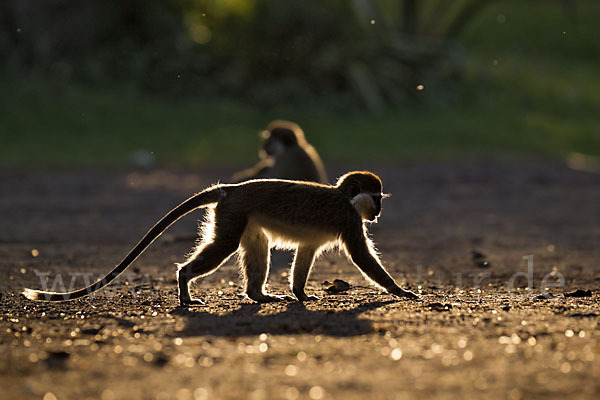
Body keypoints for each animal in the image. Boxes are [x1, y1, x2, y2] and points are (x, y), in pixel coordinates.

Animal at [22, 170, 418, 304]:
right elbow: (362, 257)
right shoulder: (349, 220)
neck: (344, 198)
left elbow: (305, 253)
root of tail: (231, 188)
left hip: (238, 216)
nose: (378, 212)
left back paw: (258, 295)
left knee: (256, 246)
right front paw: (401, 291)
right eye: (377, 197)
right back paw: (184, 284)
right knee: (224, 246)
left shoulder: (321, 235)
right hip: (232, 215)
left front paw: (300, 293)